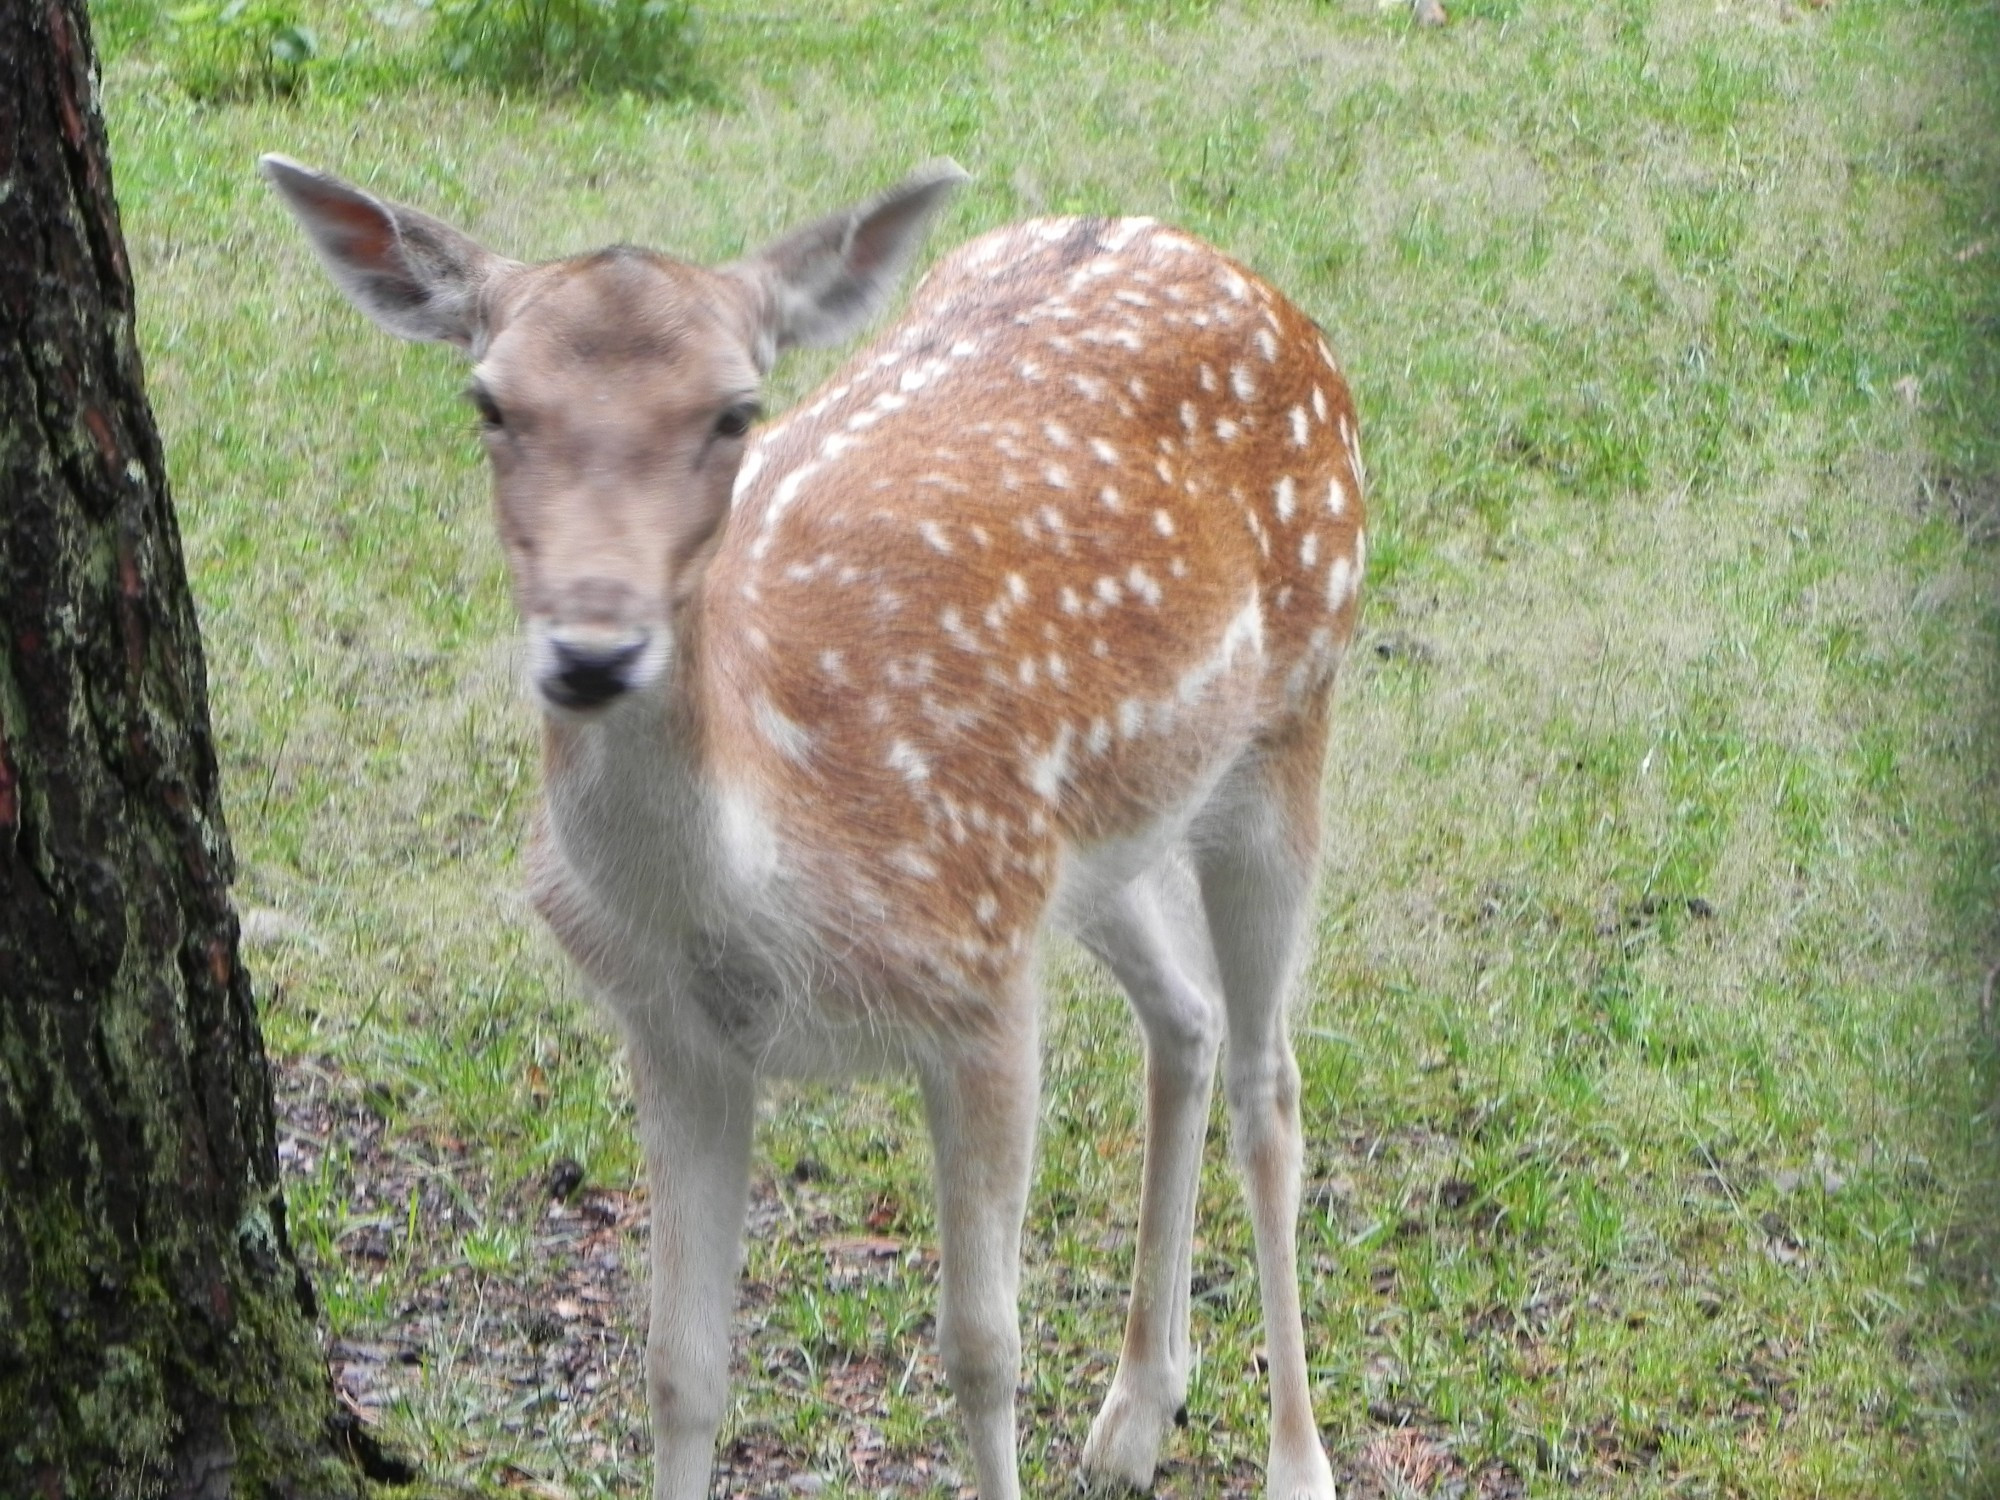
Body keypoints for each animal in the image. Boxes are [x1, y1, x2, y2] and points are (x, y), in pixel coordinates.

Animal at [262, 153, 1360, 1500]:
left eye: (736, 410)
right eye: (489, 401)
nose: (593, 650)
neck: (757, 870)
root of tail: (1225, 266)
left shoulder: (980, 987)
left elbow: (981, 1349)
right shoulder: (676, 1030)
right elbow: (678, 1365)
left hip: (1292, 710)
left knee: (1271, 1082)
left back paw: (1294, 1461)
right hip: (1093, 836)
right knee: (1186, 1020)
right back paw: (1134, 1415)